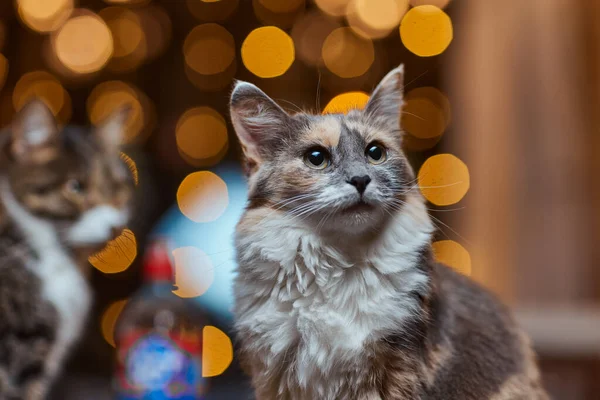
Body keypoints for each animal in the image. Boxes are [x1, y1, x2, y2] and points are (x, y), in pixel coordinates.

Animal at [229, 66, 548, 400]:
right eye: (316, 157)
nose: (360, 179)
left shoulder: (399, 367)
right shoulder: (276, 375)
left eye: (375, 152)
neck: (338, 263)